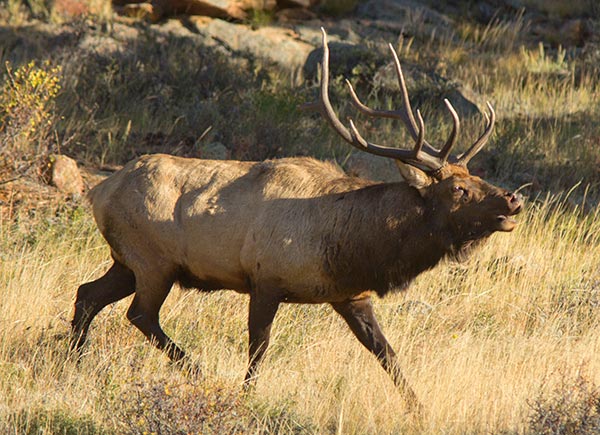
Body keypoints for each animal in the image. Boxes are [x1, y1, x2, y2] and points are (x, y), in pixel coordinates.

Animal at [69, 29, 520, 412]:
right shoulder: (264, 279)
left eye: (475, 177)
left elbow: (386, 353)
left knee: (88, 293)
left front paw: (419, 410)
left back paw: (72, 359)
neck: (350, 247)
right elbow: (259, 347)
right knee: (140, 314)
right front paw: (245, 395)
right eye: (458, 190)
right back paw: (195, 369)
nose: (513, 200)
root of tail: (99, 190)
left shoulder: (350, 295)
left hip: (127, 261)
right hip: (154, 261)